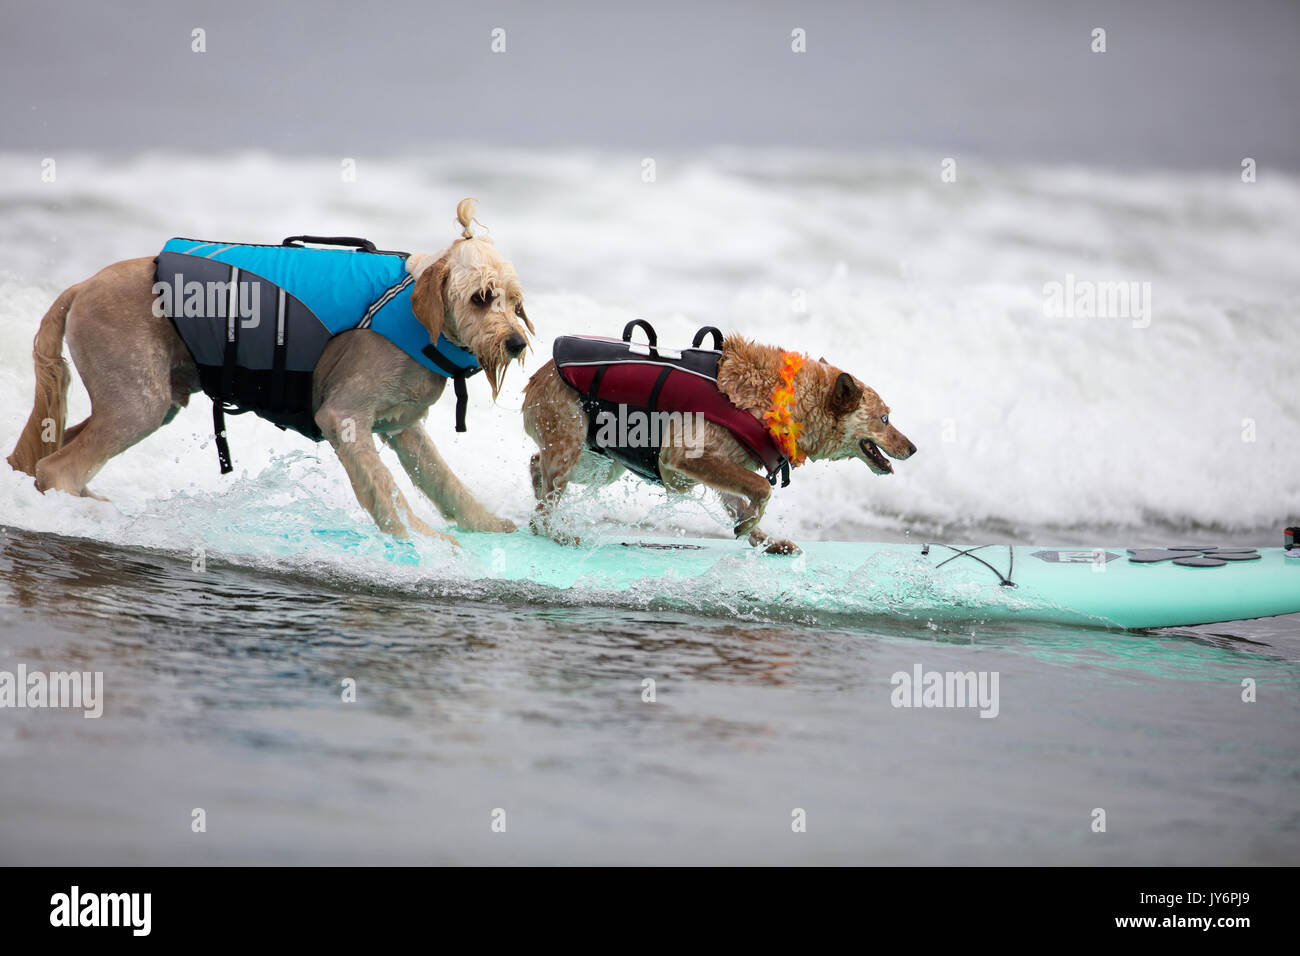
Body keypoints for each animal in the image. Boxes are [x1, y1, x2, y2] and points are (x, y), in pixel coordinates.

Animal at [7, 200, 530, 546]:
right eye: (480, 297)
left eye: (513, 301)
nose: (518, 343)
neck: (416, 315)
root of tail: (79, 286)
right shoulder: (343, 417)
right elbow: (385, 490)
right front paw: (424, 541)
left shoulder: (403, 427)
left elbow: (444, 483)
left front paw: (489, 525)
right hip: (138, 403)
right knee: (56, 469)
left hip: (147, 402)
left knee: (51, 456)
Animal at [522, 335, 920, 554]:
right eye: (886, 419)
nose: (913, 448)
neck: (782, 403)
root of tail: (538, 374)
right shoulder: (687, 455)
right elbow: (761, 487)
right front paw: (749, 525)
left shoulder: (718, 467)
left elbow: (741, 498)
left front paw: (762, 537)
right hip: (572, 444)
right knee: (544, 501)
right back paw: (555, 531)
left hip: (603, 463)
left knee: (535, 464)